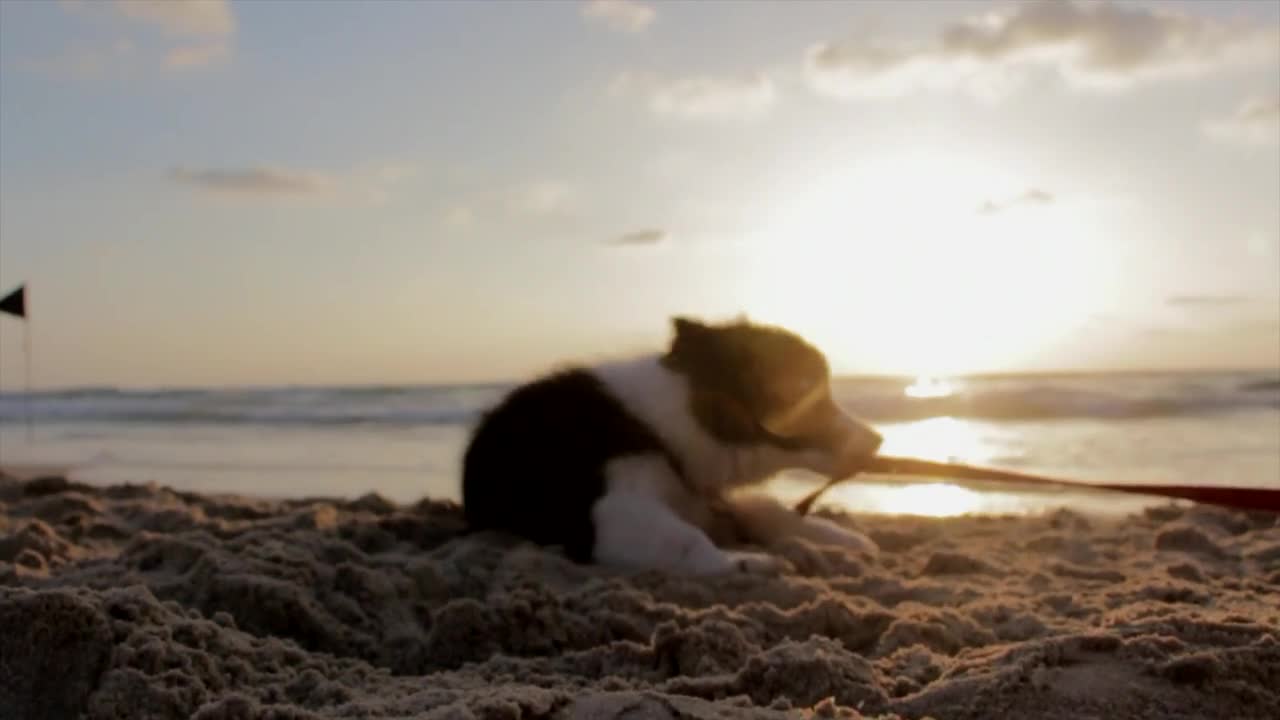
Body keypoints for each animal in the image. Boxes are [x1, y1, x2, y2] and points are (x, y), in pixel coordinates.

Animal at [458, 316, 880, 573]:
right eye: (814, 399)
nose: (878, 440)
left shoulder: (705, 496)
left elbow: (770, 510)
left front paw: (838, 537)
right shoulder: (611, 509)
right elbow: (688, 539)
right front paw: (742, 563)